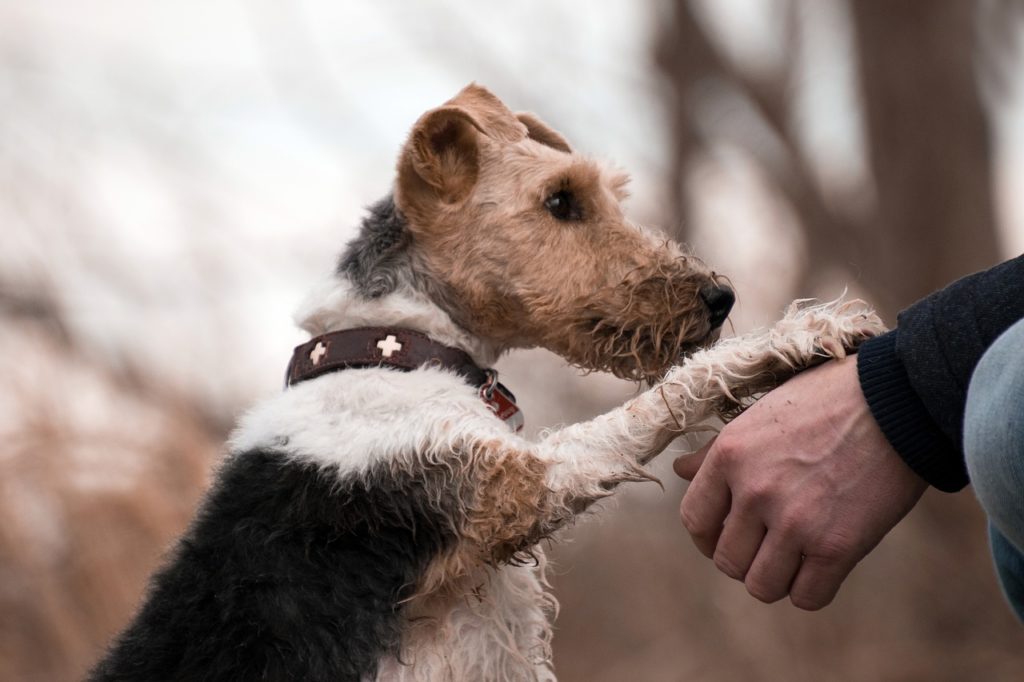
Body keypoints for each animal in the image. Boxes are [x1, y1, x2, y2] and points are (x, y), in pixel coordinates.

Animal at [92, 82, 884, 675]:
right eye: (560, 200)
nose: (719, 297)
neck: (398, 347)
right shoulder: (515, 485)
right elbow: (659, 399)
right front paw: (802, 334)